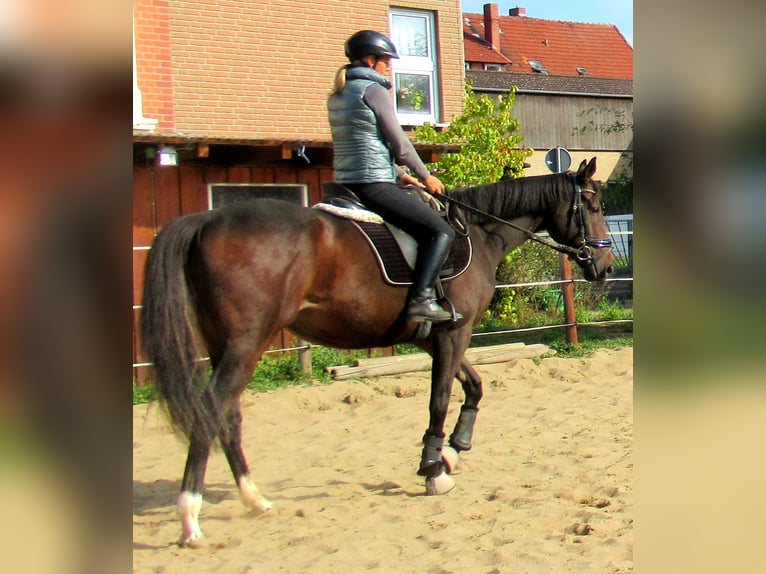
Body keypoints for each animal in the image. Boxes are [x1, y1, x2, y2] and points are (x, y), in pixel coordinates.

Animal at [140, 157, 614, 547]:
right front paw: (433, 470)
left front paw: (453, 451)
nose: (606, 267)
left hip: (227, 346)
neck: (479, 234)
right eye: (593, 207)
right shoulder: (452, 333)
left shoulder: (435, 337)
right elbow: (440, 399)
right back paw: (190, 515)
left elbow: (475, 386)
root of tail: (205, 220)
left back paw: (253, 498)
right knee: (209, 411)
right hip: (245, 344)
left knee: (228, 416)